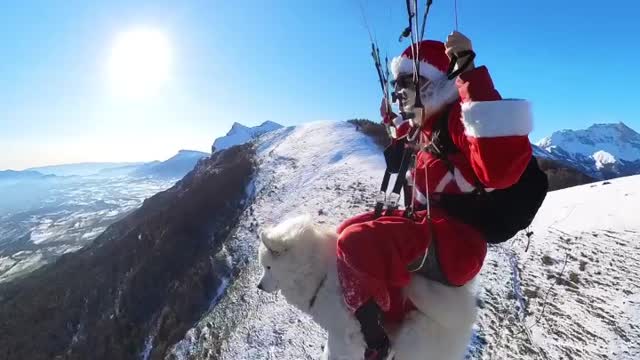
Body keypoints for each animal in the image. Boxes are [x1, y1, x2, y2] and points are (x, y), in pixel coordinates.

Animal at [258, 215, 478, 358]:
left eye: (268, 267)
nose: (259, 286)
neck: (317, 273)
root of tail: (464, 316)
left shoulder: (345, 331)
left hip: (414, 337)